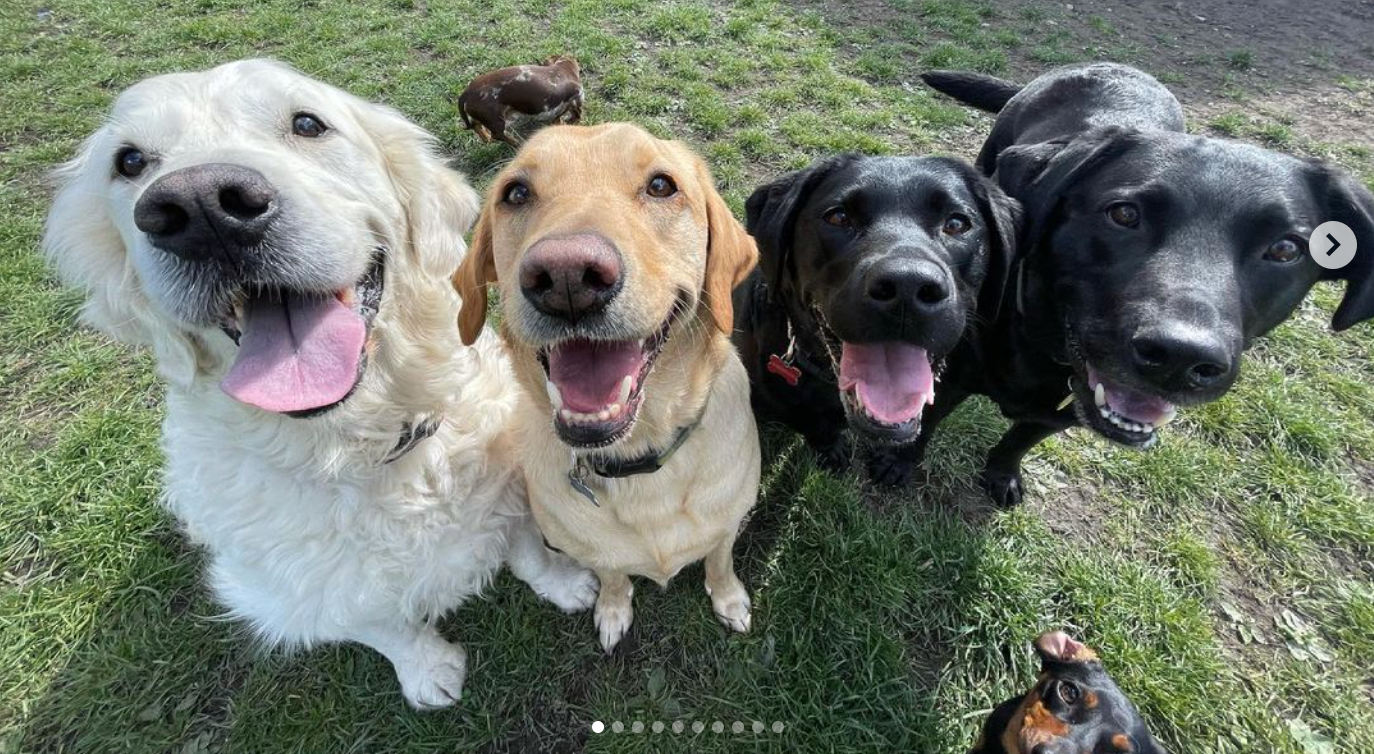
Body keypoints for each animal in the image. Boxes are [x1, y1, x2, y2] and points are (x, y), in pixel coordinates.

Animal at [42, 59, 598, 709]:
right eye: (129, 161)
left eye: (308, 123)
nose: (203, 207)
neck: (363, 449)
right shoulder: (306, 592)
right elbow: (384, 627)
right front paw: (429, 671)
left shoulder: (508, 491)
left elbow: (528, 551)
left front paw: (565, 584)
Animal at [454, 122, 761, 652]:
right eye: (516, 193)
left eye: (661, 185)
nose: (567, 277)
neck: (639, 463)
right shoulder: (592, 551)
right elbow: (613, 576)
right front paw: (614, 610)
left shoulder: (728, 525)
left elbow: (719, 562)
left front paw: (730, 601)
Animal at [919, 63, 1374, 506]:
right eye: (1124, 214)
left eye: (1284, 249)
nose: (1180, 356)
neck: (1044, 347)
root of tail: (1112, 65)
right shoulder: (950, 375)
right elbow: (921, 429)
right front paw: (904, 471)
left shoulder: (1064, 412)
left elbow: (1021, 438)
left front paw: (1003, 472)